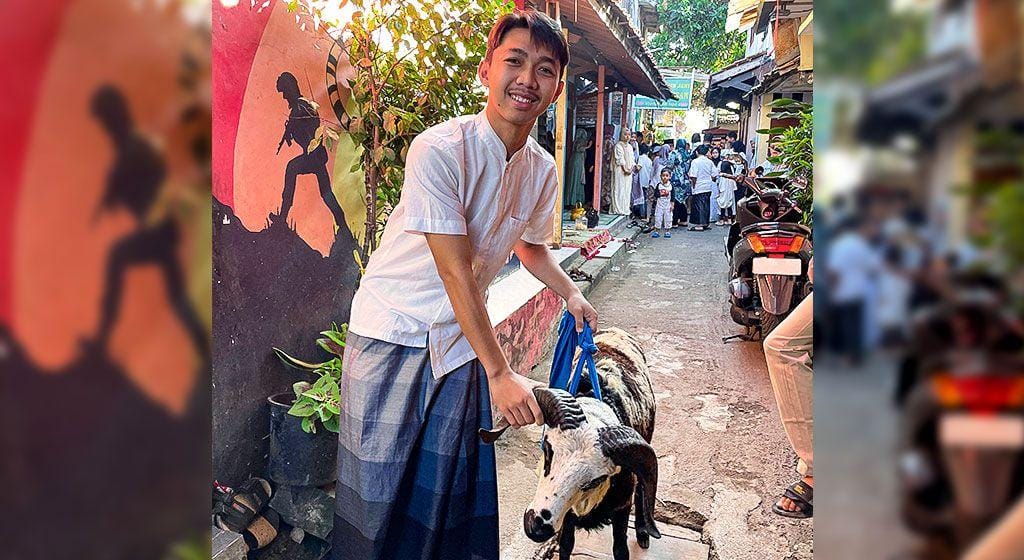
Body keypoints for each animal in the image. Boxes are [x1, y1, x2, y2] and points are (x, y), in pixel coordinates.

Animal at [524, 329, 659, 560]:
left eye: (596, 480)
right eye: (548, 451)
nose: (536, 527)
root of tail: (616, 330)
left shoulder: (622, 505)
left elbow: (620, 550)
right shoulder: (567, 515)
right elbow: (566, 544)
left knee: (642, 487)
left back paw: (642, 532)